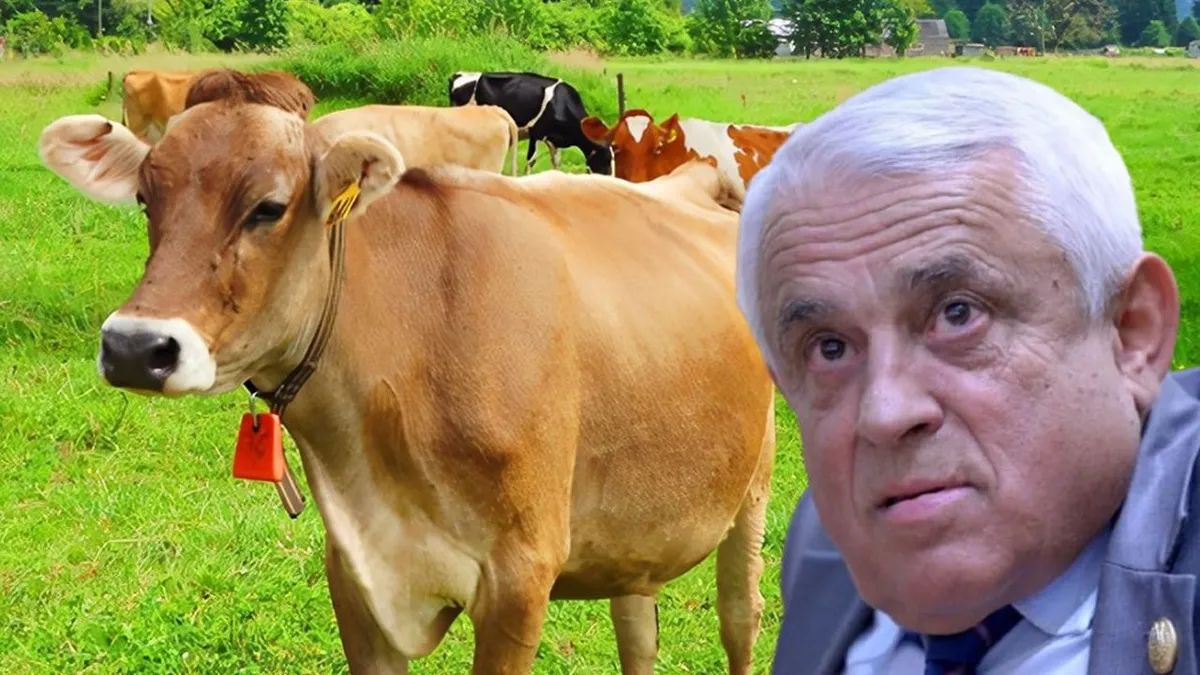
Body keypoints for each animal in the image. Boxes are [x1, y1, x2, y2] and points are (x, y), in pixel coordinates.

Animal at [448, 71, 614, 176]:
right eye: (605, 160)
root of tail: (458, 75)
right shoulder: (536, 132)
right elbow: (531, 160)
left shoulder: (554, 140)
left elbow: (556, 162)